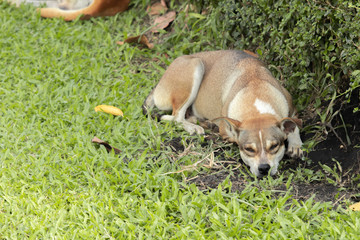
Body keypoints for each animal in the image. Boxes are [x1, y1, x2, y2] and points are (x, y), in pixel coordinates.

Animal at [142, 50, 302, 178]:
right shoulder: (226, 128)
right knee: (175, 116)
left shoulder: (292, 109)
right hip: (195, 67)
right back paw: (195, 127)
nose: (264, 168)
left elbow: (294, 124)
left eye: (274, 146)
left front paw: (296, 145)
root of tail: (159, 83)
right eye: (249, 149)